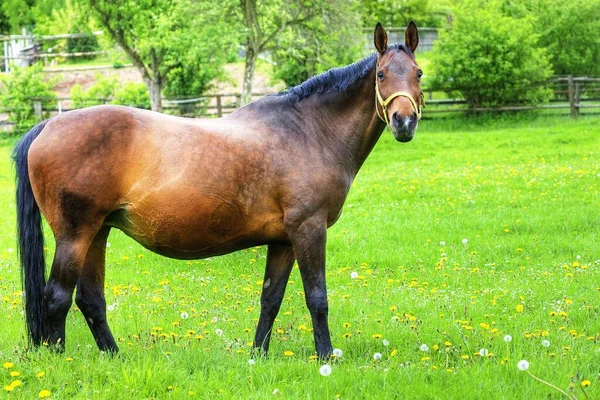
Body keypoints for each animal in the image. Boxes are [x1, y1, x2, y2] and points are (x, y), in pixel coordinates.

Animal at [14, 22, 424, 360]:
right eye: (382, 74)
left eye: (418, 73)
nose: (404, 122)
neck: (308, 130)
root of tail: (48, 124)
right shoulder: (309, 230)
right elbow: (317, 297)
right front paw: (325, 356)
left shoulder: (284, 240)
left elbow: (270, 298)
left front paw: (258, 355)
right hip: (75, 236)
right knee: (57, 298)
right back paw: (61, 360)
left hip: (97, 233)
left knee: (90, 300)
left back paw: (114, 357)